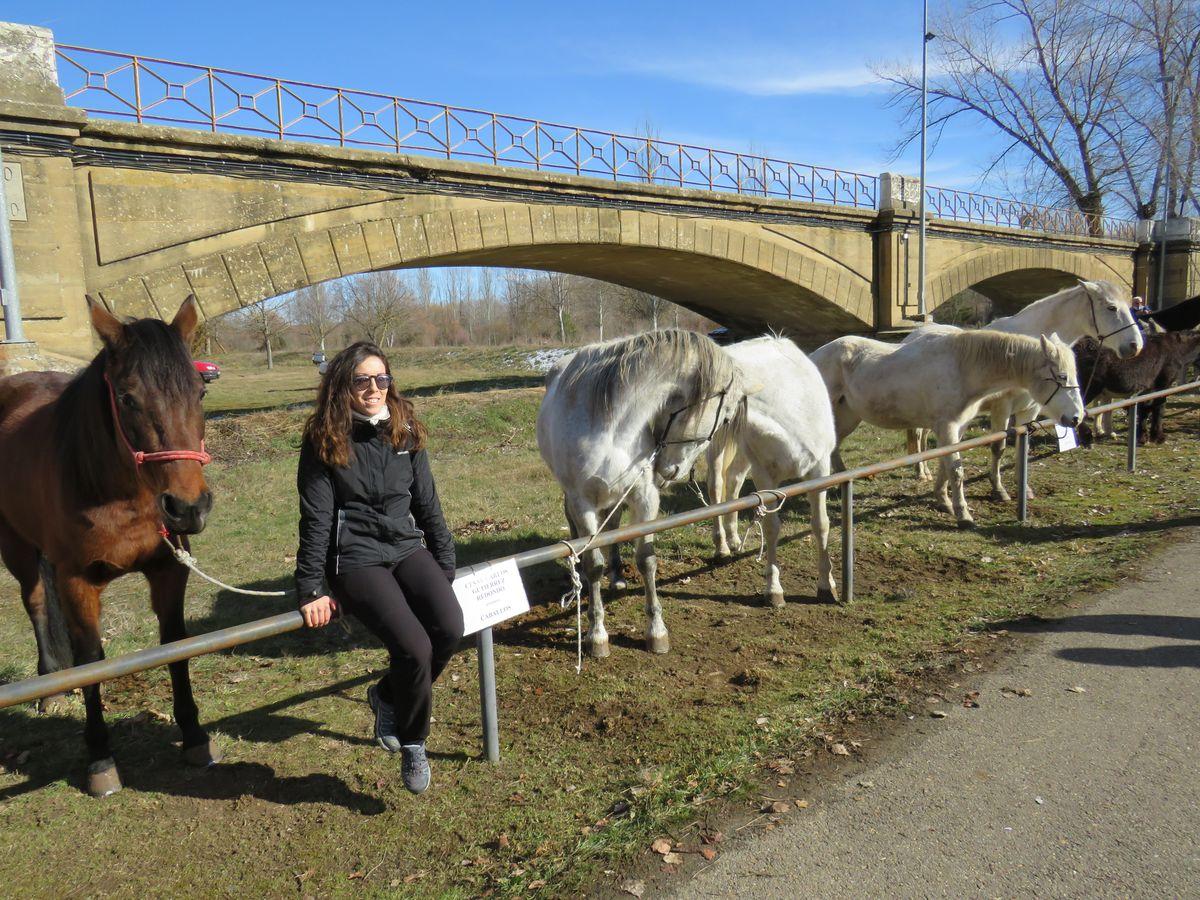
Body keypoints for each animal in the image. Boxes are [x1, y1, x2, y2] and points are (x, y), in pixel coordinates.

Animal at [0, 296, 220, 796]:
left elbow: (174, 644)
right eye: (127, 399)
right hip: (15, 546)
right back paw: (50, 684)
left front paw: (194, 735)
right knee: (36, 603)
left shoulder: (169, 571)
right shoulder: (77, 583)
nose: (188, 507)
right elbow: (92, 661)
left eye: (200, 393)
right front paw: (100, 758)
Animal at [540, 328, 744, 657]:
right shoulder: (583, 503)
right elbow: (593, 564)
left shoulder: (644, 498)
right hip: (573, 498)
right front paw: (597, 635)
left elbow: (647, 559)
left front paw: (656, 631)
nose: (669, 471)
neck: (611, 429)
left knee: (612, 527)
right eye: (724, 416)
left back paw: (618, 577)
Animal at [700, 338, 840, 607]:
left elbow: (821, 525)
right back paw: (722, 547)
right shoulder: (765, 478)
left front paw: (826, 585)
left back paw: (734, 539)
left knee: (733, 479)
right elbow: (771, 528)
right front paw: (774, 590)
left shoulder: (819, 470)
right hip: (720, 447)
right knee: (716, 485)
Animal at [811, 331, 1084, 528]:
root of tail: (814, 357)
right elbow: (956, 470)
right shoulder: (948, 427)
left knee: (834, 446)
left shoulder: (956, 429)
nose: (1077, 417)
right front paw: (964, 516)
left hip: (848, 415)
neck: (962, 368)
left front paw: (943, 501)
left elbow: (945, 464)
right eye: (1061, 376)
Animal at [902, 280, 1137, 501]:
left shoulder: (1030, 409)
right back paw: (921, 471)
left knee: (924, 436)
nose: (1135, 345)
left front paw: (1024, 488)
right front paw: (998, 490)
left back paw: (926, 471)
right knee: (918, 434)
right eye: (1111, 307)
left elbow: (1022, 444)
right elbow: (998, 447)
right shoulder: (1002, 408)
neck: (1021, 354)